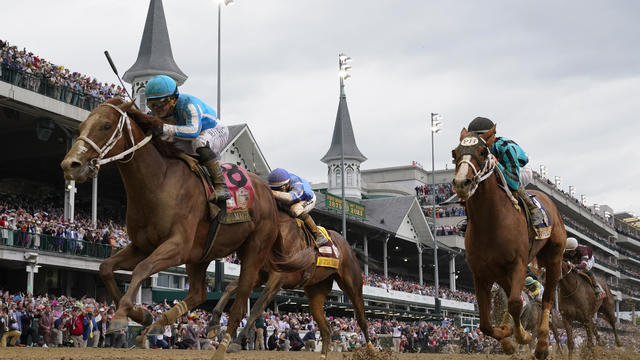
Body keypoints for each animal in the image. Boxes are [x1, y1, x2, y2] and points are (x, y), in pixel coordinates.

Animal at [61, 98, 306, 360]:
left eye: (106, 125)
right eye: (81, 127)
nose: (70, 165)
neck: (159, 182)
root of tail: (270, 195)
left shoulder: (177, 246)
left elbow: (141, 269)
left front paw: (121, 317)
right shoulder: (142, 246)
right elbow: (106, 268)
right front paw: (142, 315)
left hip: (253, 253)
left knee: (241, 303)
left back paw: (225, 345)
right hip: (201, 255)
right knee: (199, 293)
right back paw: (163, 324)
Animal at [206, 210, 376, 358]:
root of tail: (349, 248)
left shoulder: (278, 277)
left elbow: (257, 307)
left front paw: (235, 342)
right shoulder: (260, 274)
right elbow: (230, 287)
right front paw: (213, 324)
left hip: (352, 284)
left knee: (361, 319)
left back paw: (372, 351)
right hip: (316, 291)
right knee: (326, 329)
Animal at [450, 125, 564, 358]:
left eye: (483, 152)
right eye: (454, 153)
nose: (461, 183)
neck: (490, 223)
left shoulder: (518, 264)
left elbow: (515, 303)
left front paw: (522, 337)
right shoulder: (481, 273)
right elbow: (485, 323)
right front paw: (506, 339)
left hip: (554, 258)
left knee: (547, 298)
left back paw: (542, 345)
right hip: (502, 274)